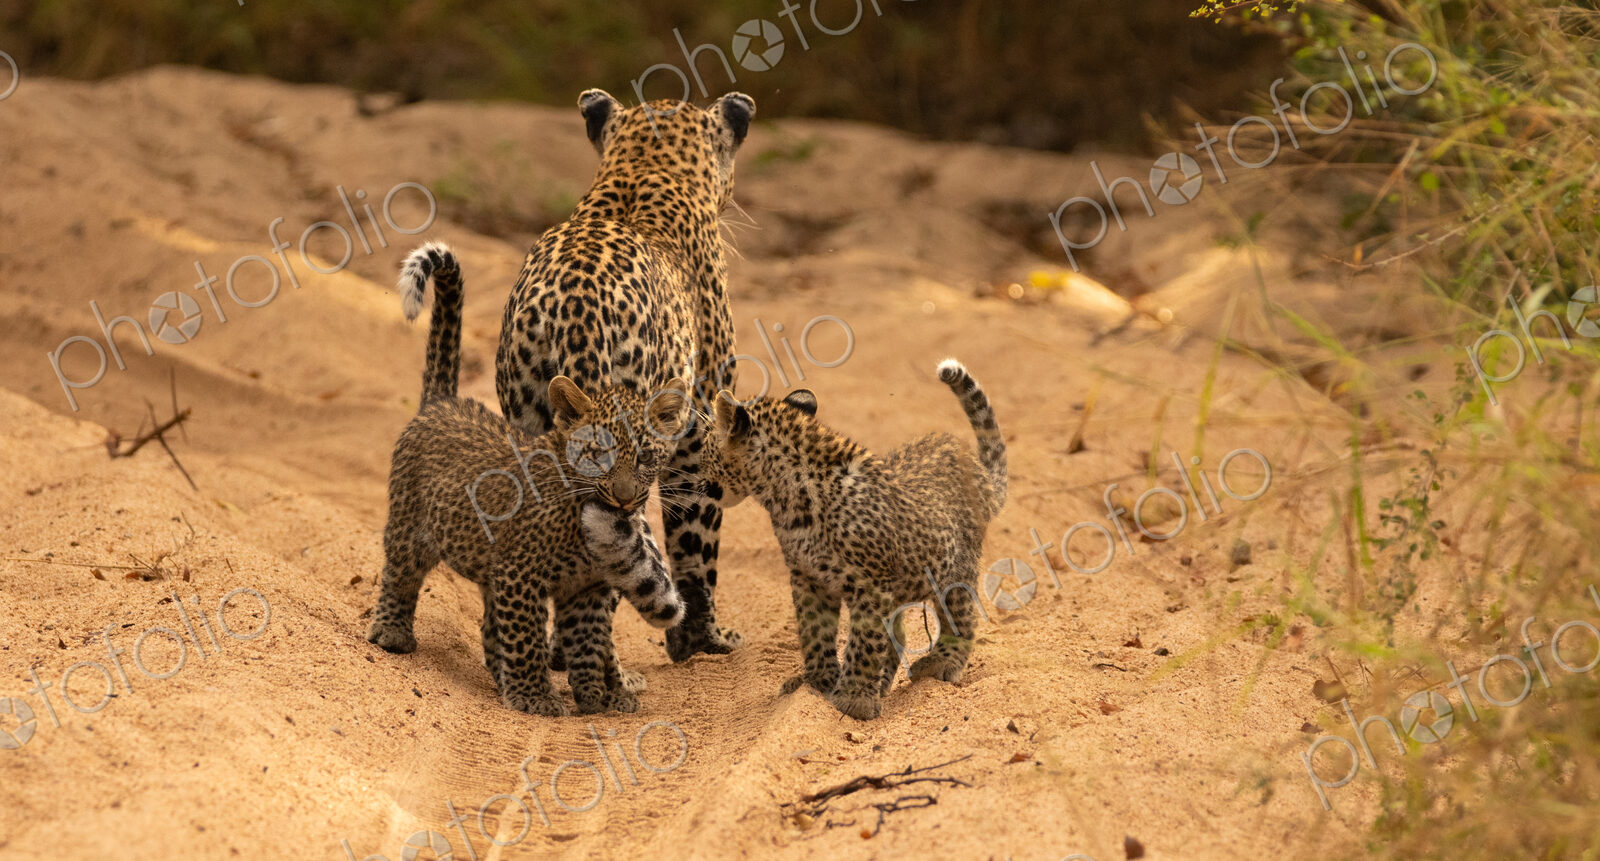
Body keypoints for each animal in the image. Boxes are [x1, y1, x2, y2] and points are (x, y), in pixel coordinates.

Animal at [368, 242, 688, 716]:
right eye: (600, 453)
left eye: (647, 456)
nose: (625, 499)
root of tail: (441, 402)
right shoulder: (521, 574)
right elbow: (527, 639)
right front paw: (536, 697)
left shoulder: (586, 589)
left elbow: (588, 642)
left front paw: (598, 698)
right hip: (410, 523)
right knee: (400, 573)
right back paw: (392, 633)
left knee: (486, 624)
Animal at [493, 88, 757, 665]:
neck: (644, 166)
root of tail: (572, 302)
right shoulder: (698, 427)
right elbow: (696, 541)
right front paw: (702, 640)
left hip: (526, 415)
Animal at [707, 359, 1008, 720]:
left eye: (706, 444)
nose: (700, 479)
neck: (787, 502)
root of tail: (976, 468)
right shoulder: (807, 576)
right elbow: (814, 633)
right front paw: (817, 683)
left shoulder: (871, 584)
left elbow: (864, 642)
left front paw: (854, 699)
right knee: (900, 631)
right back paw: (884, 682)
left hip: (955, 568)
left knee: (961, 614)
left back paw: (940, 663)